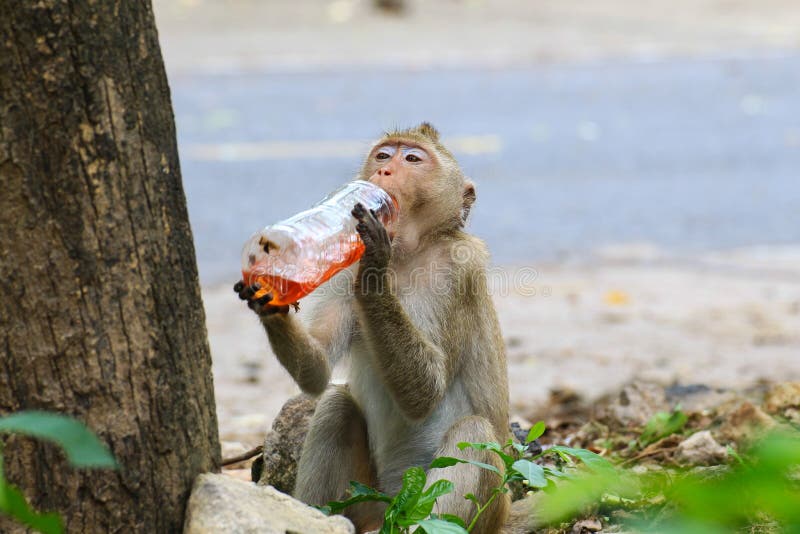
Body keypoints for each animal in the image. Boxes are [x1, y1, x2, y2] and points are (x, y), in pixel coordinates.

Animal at [234, 123, 510, 532]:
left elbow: (427, 392)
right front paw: (272, 295)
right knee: (335, 405)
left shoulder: (460, 269)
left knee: (472, 432)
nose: (384, 171)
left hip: (477, 508)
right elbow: (318, 374)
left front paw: (374, 270)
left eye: (411, 158)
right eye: (383, 155)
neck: (408, 254)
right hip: (365, 498)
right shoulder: (342, 272)